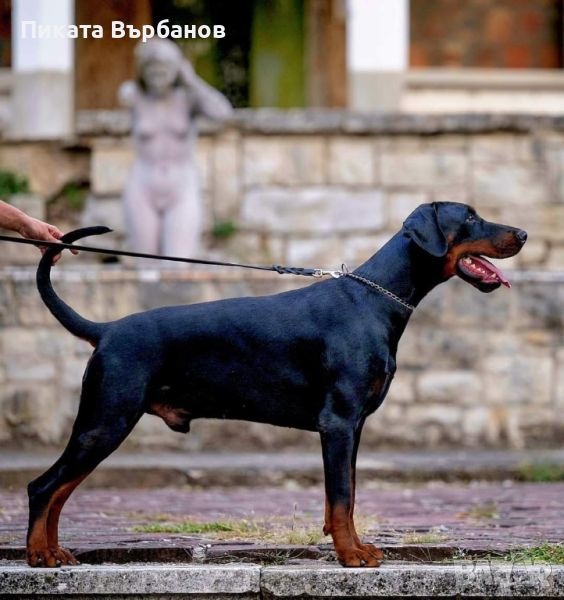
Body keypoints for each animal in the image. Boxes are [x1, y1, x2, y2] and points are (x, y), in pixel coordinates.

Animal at [26, 202, 528, 568]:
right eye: (469, 217)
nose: (522, 234)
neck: (375, 298)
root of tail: (106, 329)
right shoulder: (338, 422)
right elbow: (342, 497)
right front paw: (351, 556)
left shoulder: (354, 427)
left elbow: (345, 495)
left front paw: (351, 547)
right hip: (106, 420)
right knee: (43, 487)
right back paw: (38, 555)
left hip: (103, 424)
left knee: (59, 490)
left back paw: (55, 551)